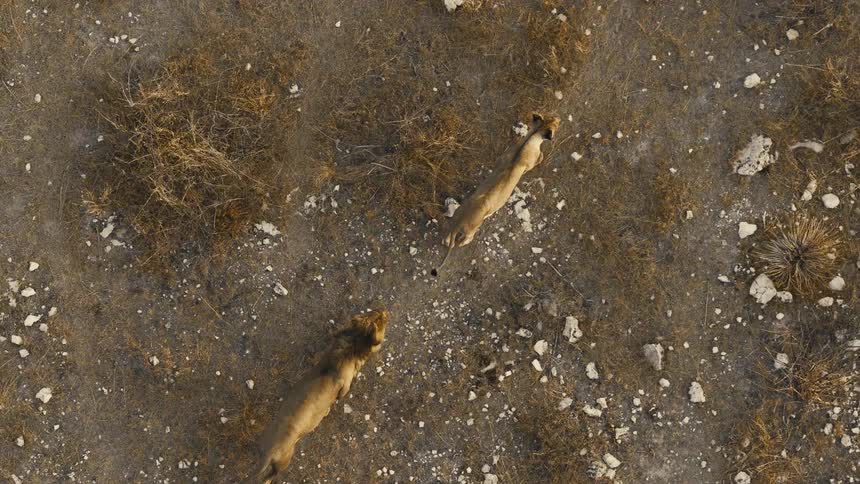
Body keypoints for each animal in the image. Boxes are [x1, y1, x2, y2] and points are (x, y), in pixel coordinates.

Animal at [245, 309, 389, 483]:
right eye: (381, 319)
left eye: (373, 311)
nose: (385, 309)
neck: (352, 345)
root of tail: (268, 452)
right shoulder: (345, 382)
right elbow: (341, 395)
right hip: (284, 460)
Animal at [432, 113, 560, 275]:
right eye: (556, 123)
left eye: (553, 118)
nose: (559, 118)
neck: (531, 137)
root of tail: (461, 219)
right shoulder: (531, 163)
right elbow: (540, 157)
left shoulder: (505, 155)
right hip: (471, 230)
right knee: (462, 241)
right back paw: (460, 244)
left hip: (454, 219)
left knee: (448, 236)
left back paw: (446, 240)